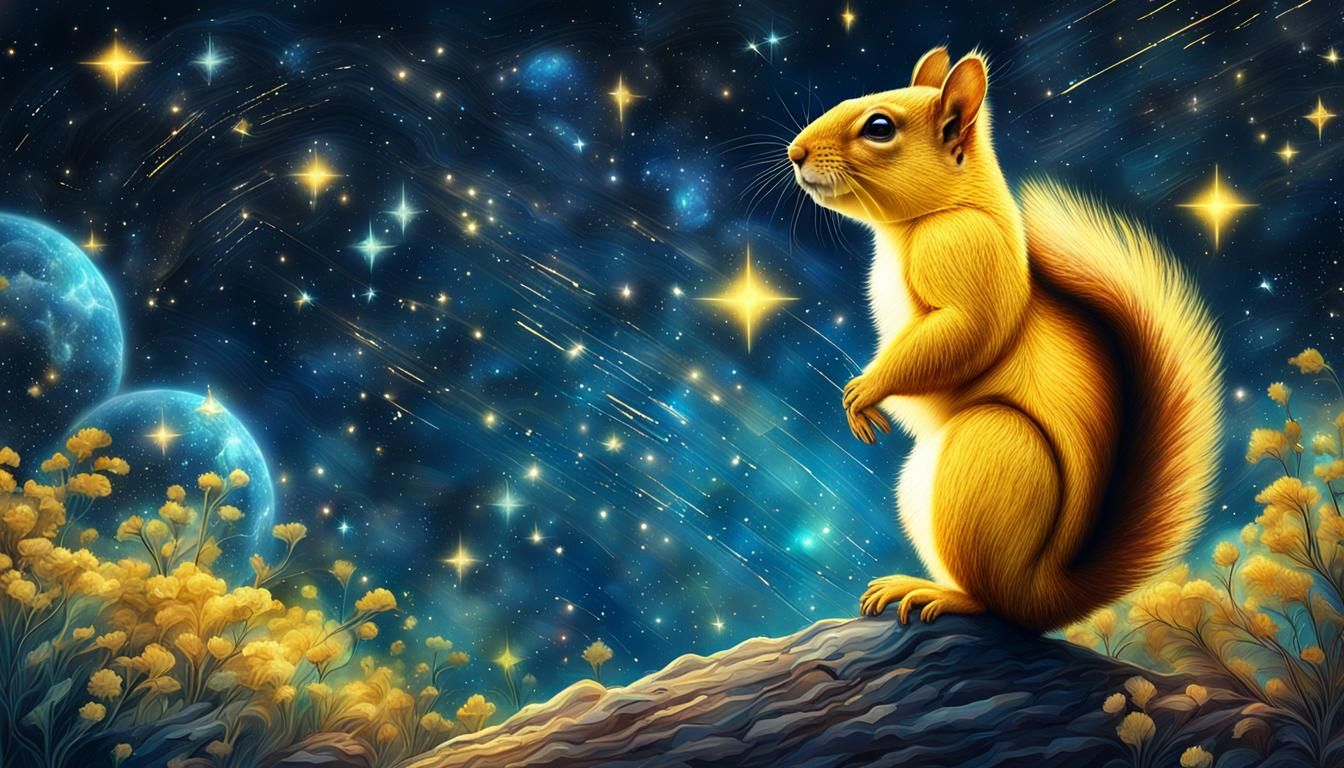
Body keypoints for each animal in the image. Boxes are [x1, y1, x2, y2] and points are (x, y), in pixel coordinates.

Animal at [787, 47, 1223, 631]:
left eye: (879, 127)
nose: (794, 153)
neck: (937, 216)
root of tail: (1044, 596)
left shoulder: (966, 255)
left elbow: (964, 333)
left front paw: (863, 391)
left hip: (989, 449)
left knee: (991, 601)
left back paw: (938, 594)